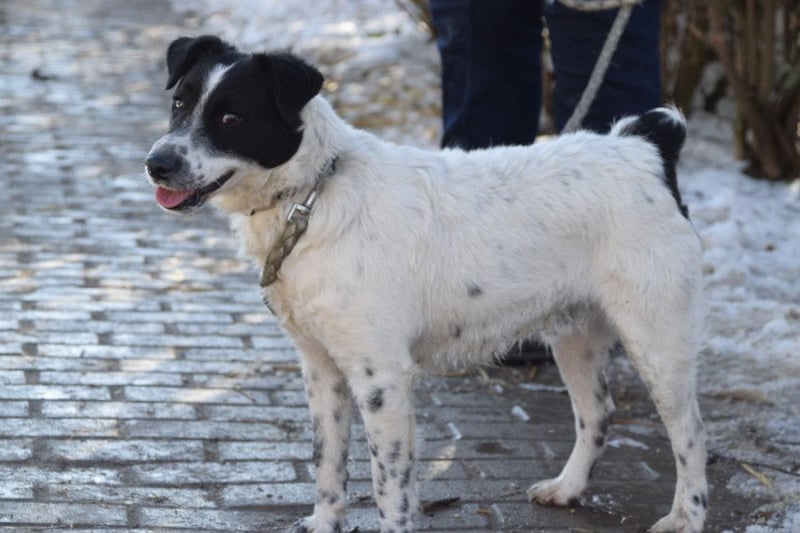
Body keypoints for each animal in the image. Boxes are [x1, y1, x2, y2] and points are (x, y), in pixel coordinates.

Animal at [145, 35, 708, 533]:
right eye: (179, 103)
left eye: (231, 118)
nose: (156, 164)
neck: (313, 196)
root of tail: (645, 148)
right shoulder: (322, 369)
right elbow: (328, 464)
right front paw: (325, 523)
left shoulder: (381, 378)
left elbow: (388, 484)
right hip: (576, 335)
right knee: (596, 414)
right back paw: (568, 489)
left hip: (657, 339)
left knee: (691, 433)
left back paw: (687, 516)